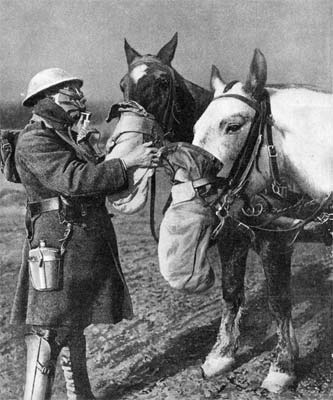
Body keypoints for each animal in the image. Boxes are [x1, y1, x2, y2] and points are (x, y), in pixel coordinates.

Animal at [191, 48, 330, 392]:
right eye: (196, 127)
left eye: (233, 126)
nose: (192, 187)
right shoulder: (235, 235)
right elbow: (231, 292)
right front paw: (221, 355)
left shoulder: (275, 239)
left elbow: (278, 301)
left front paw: (282, 367)